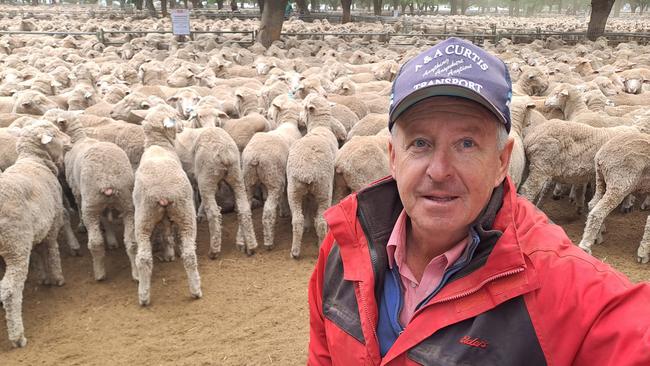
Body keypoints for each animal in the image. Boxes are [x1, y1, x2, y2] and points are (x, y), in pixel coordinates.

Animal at [0, 121, 69, 348]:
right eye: (54, 134)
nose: (69, 141)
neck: (34, 160)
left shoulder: (36, 231)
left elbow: (38, 254)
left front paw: (43, 277)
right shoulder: (53, 220)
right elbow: (53, 251)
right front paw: (57, 278)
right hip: (15, 245)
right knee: (10, 290)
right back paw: (17, 336)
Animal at [55, 116, 137, 282]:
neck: (80, 138)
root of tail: (108, 180)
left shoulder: (78, 192)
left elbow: (79, 209)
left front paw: (81, 226)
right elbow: (105, 219)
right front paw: (111, 239)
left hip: (91, 204)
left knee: (95, 242)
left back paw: (99, 273)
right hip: (126, 203)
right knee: (131, 241)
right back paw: (136, 273)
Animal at [242, 93, 302, 250]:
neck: (288, 123)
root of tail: (256, 157)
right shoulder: (284, 177)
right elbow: (284, 195)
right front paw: (285, 212)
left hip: (248, 181)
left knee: (244, 210)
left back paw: (244, 244)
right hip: (274, 180)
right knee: (268, 212)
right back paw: (269, 241)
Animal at [284, 94, 342, 260]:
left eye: (303, 106)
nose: (299, 120)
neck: (319, 127)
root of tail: (308, 171)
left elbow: (308, 206)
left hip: (294, 189)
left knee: (297, 220)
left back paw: (295, 251)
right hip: (323, 190)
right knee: (321, 221)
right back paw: (320, 245)